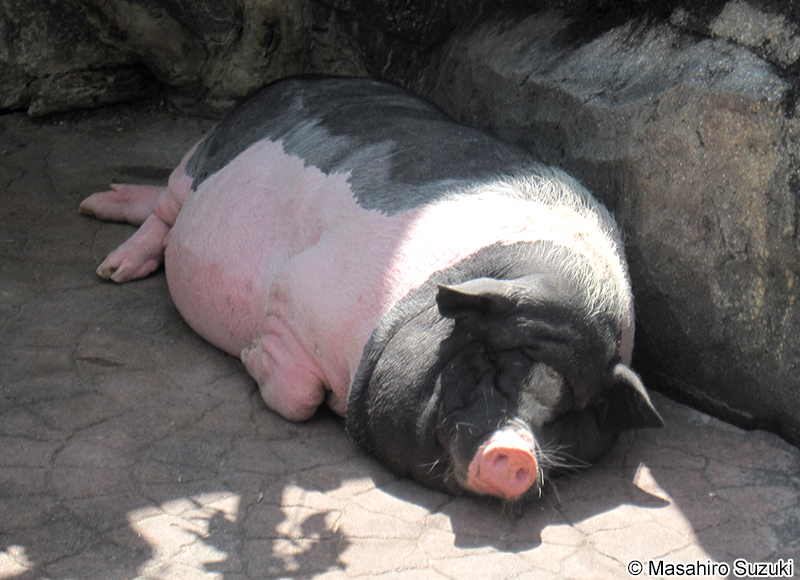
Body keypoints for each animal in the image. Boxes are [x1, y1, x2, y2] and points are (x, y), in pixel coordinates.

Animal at [80, 75, 663, 504]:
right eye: (495, 362)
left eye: (569, 409)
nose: (517, 452)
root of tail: (296, 79)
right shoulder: (304, 290)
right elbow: (298, 396)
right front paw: (250, 354)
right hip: (204, 160)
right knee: (164, 209)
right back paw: (108, 257)